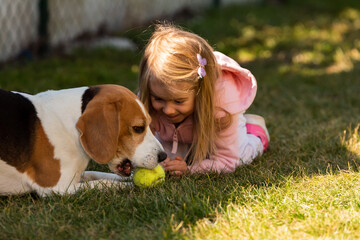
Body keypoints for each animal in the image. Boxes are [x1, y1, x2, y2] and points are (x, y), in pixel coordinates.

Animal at [0, 84, 166, 197]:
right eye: (138, 128)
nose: (163, 156)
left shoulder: (77, 174)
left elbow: (98, 174)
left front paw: (130, 178)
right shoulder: (57, 188)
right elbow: (103, 183)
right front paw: (131, 185)